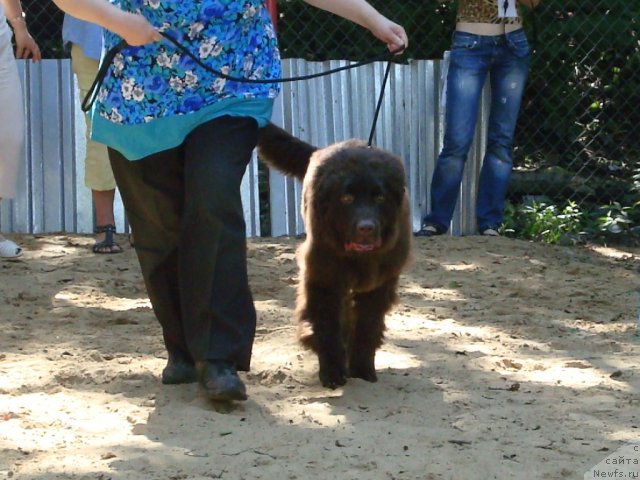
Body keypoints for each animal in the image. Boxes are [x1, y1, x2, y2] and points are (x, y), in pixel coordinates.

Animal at [258, 124, 412, 390]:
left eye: (379, 197)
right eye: (346, 198)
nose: (366, 227)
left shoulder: (380, 282)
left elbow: (368, 324)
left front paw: (362, 369)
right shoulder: (324, 277)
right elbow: (327, 325)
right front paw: (332, 371)